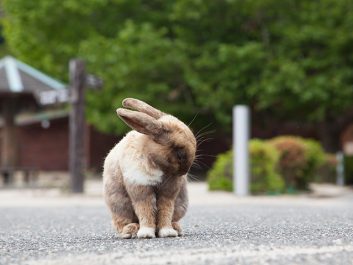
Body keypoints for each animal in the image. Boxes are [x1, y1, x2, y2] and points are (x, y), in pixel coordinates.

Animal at [102, 98, 197, 238]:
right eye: (180, 153)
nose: (184, 171)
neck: (156, 163)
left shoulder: (169, 192)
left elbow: (165, 211)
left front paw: (167, 232)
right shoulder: (140, 187)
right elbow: (146, 210)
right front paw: (146, 233)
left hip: (181, 205)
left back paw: (176, 228)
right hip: (119, 206)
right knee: (121, 223)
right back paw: (130, 231)